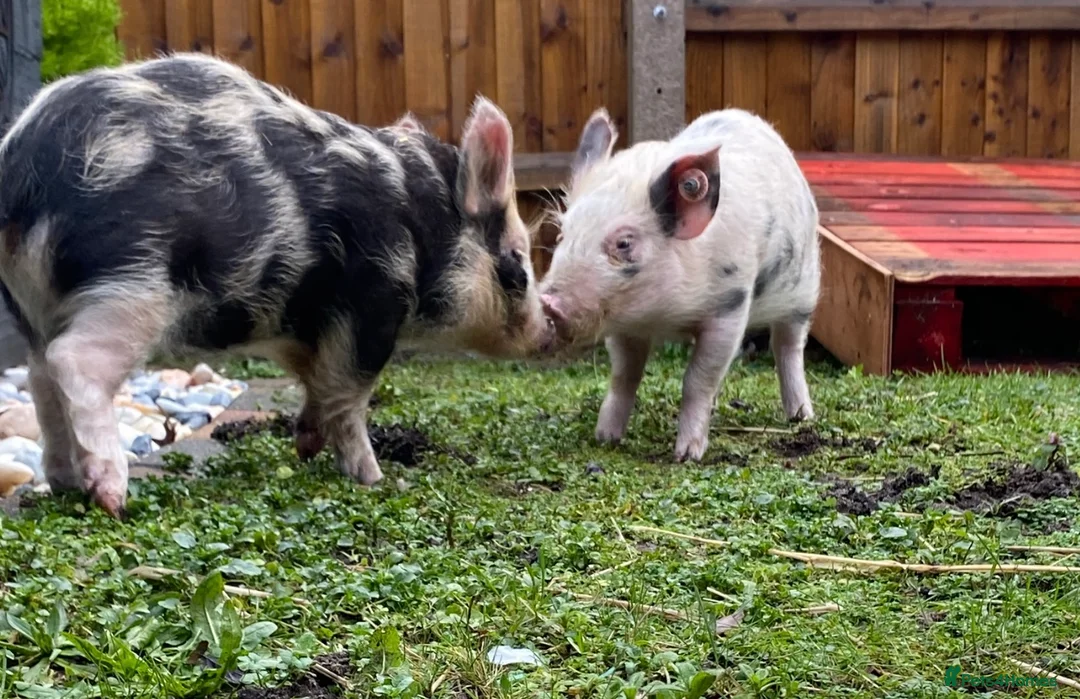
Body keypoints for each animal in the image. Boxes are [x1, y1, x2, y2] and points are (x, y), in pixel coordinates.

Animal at [0, 53, 554, 517]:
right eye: (517, 266)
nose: (549, 329)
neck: (423, 225)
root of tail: (21, 172)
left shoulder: (302, 323)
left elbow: (317, 385)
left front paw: (306, 446)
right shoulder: (374, 301)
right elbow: (349, 396)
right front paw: (374, 478)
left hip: (35, 307)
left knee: (41, 377)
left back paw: (66, 483)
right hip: (133, 285)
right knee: (74, 361)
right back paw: (113, 498)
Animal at [540, 108, 819, 462]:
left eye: (624, 243)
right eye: (562, 234)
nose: (547, 302)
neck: (664, 318)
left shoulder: (730, 305)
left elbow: (697, 380)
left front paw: (687, 456)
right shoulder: (622, 324)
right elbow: (624, 375)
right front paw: (605, 439)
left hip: (804, 288)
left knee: (788, 346)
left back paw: (801, 417)